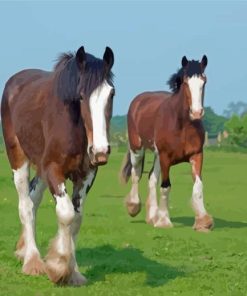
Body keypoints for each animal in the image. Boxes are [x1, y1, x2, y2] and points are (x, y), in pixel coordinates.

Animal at [1, 45, 115, 284]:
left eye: (111, 93)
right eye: (81, 96)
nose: (100, 152)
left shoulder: (86, 175)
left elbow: (77, 218)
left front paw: (74, 272)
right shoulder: (54, 170)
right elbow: (66, 213)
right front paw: (59, 267)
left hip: (41, 169)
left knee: (33, 198)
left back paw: (23, 250)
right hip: (19, 159)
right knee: (25, 205)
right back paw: (32, 261)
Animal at [120, 55, 213, 231]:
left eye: (204, 81)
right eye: (185, 82)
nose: (197, 113)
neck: (182, 125)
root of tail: (138, 100)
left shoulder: (197, 155)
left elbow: (198, 186)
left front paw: (203, 221)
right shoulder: (165, 157)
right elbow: (165, 186)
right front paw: (164, 221)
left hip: (157, 156)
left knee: (151, 178)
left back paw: (152, 217)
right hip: (138, 149)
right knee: (136, 174)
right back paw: (134, 206)